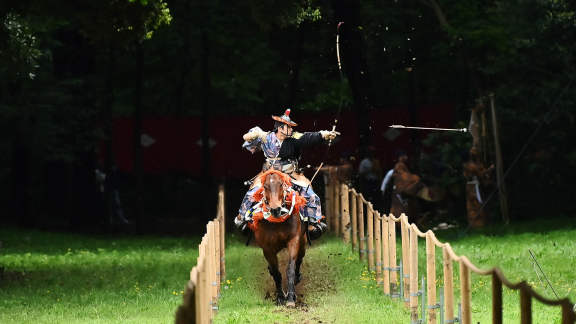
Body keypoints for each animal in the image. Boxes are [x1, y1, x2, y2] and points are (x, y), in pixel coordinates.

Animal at [248, 168, 310, 308]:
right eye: (265, 186)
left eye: (281, 184)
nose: (275, 209)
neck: (277, 222)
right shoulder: (267, 248)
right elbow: (276, 273)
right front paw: (281, 297)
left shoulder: (294, 240)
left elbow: (290, 269)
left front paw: (291, 298)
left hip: (303, 243)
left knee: (299, 261)